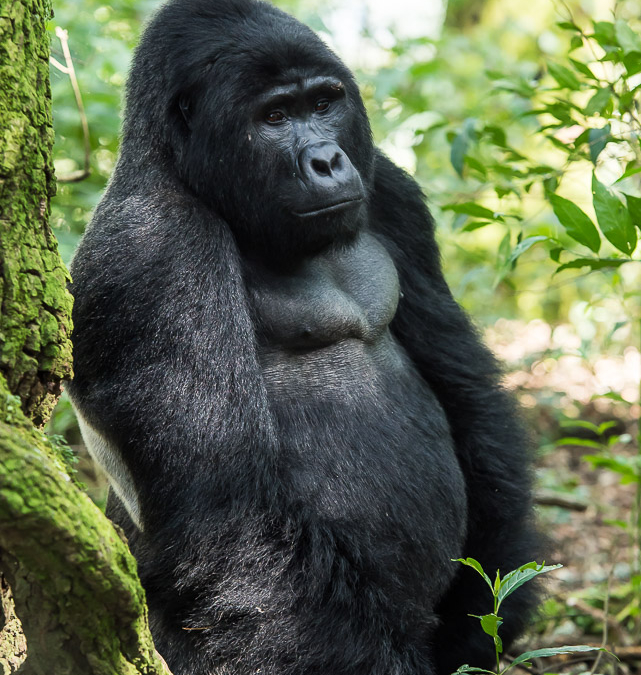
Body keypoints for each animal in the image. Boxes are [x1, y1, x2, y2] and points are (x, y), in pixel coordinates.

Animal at [67, 1, 536, 675]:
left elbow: (465, 385)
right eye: (274, 117)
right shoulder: (153, 248)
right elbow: (231, 511)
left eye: (322, 103)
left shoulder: (390, 188)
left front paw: (487, 610)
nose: (326, 161)